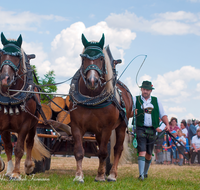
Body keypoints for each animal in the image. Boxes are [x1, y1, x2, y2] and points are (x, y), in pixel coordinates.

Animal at [0, 32, 49, 180]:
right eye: (1, 54)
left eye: (18, 56)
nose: (4, 79)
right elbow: (7, 147)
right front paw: (8, 169)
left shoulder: (25, 125)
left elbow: (19, 149)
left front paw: (16, 173)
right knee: (8, 146)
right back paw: (9, 170)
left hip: (34, 125)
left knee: (29, 143)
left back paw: (28, 166)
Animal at [69, 34, 134, 183]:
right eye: (83, 58)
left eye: (101, 58)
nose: (92, 81)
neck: (92, 99)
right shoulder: (76, 126)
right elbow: (79, 151)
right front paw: (79, 176)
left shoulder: (107, 128)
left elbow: (104, 152)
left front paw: (100, 176)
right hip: (98, 132)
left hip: (121, 126)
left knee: (117, 149)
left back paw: (111, 175)